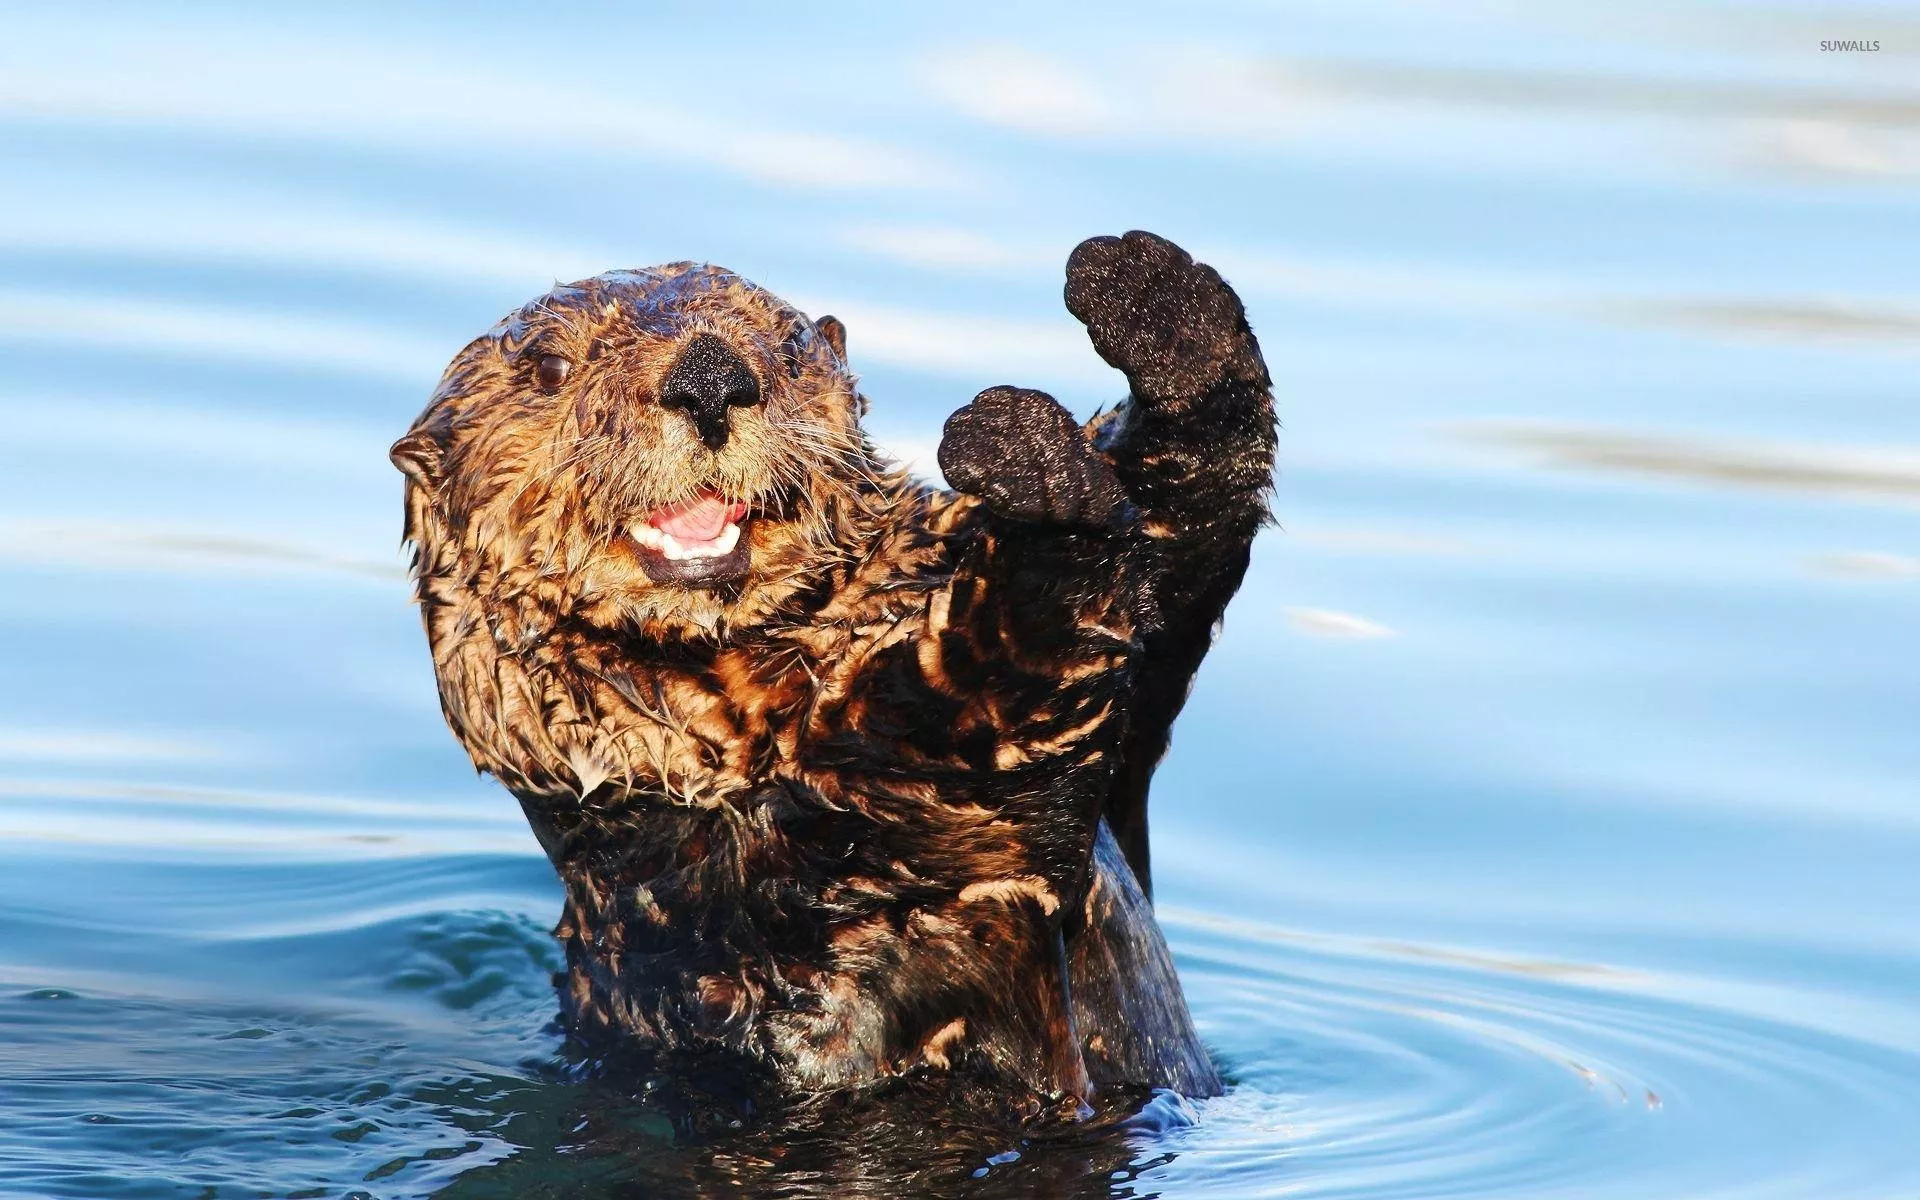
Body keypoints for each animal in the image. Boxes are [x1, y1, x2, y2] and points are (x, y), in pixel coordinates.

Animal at [391, 231, 1275, 1113]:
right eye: (547, 368)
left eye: (787, 348)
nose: (709, 377)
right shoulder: (859, 848)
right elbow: (988, 701)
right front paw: (1035, 474)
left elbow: (1177, 557)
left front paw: (1156, 306)